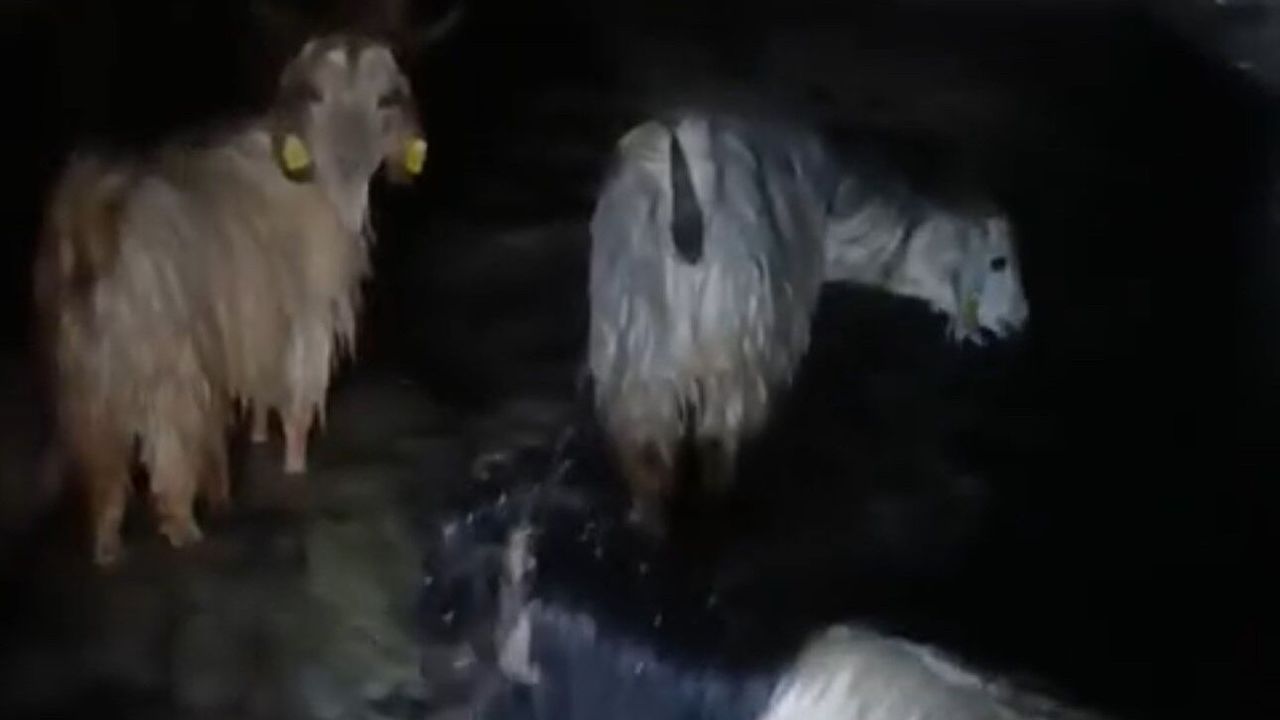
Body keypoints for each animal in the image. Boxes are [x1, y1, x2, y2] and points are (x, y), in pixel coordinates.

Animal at [34, 34, 428, 566]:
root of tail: (91, 230)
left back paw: (108, 548)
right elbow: (298, 402)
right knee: (170, 463)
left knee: (107, 478)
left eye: (385, 99)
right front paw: (295, 466)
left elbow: (260, 396)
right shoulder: (304, 319)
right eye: (318, 96)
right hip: (169, 373)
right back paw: (186, 532)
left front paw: (259, 438)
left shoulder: (257, 329)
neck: (308, 176)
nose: (353, 164)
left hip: (89, 388)